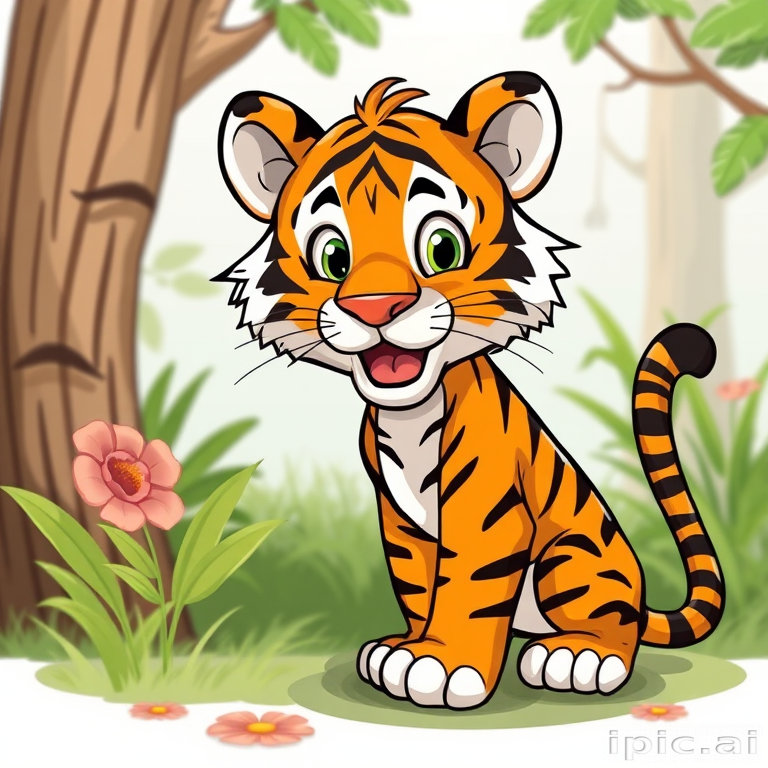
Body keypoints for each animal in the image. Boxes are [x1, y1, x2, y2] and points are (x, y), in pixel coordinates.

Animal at [214, 73, 724, 710]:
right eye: (332, 256)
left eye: (441, 248)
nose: (376, 307)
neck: (408, 414)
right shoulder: (399, 518)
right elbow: (417, 582)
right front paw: (403, 650)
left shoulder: (487, 505)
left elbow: (468, 585)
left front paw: (444, 667)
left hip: (574, 558)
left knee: (614, 624)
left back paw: (578, 656)